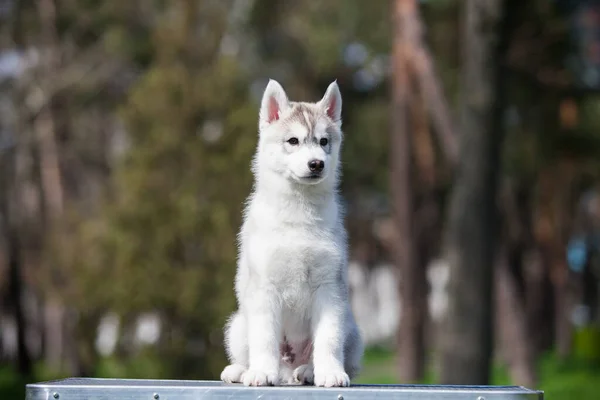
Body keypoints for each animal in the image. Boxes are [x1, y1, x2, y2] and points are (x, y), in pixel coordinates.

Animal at [219, 79, 360, 388]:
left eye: (323, 141)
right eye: (293, 141)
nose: (317, 164)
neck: (299, 211)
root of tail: (289, 371)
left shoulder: (329, 287)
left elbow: (328, 338)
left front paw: (330, 372)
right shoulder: (264, 288)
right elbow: (263, 338)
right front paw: (261, 371)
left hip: (353, 327)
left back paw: (308, 371)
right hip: (237, 325)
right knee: (250, 351)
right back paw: (242, 370)